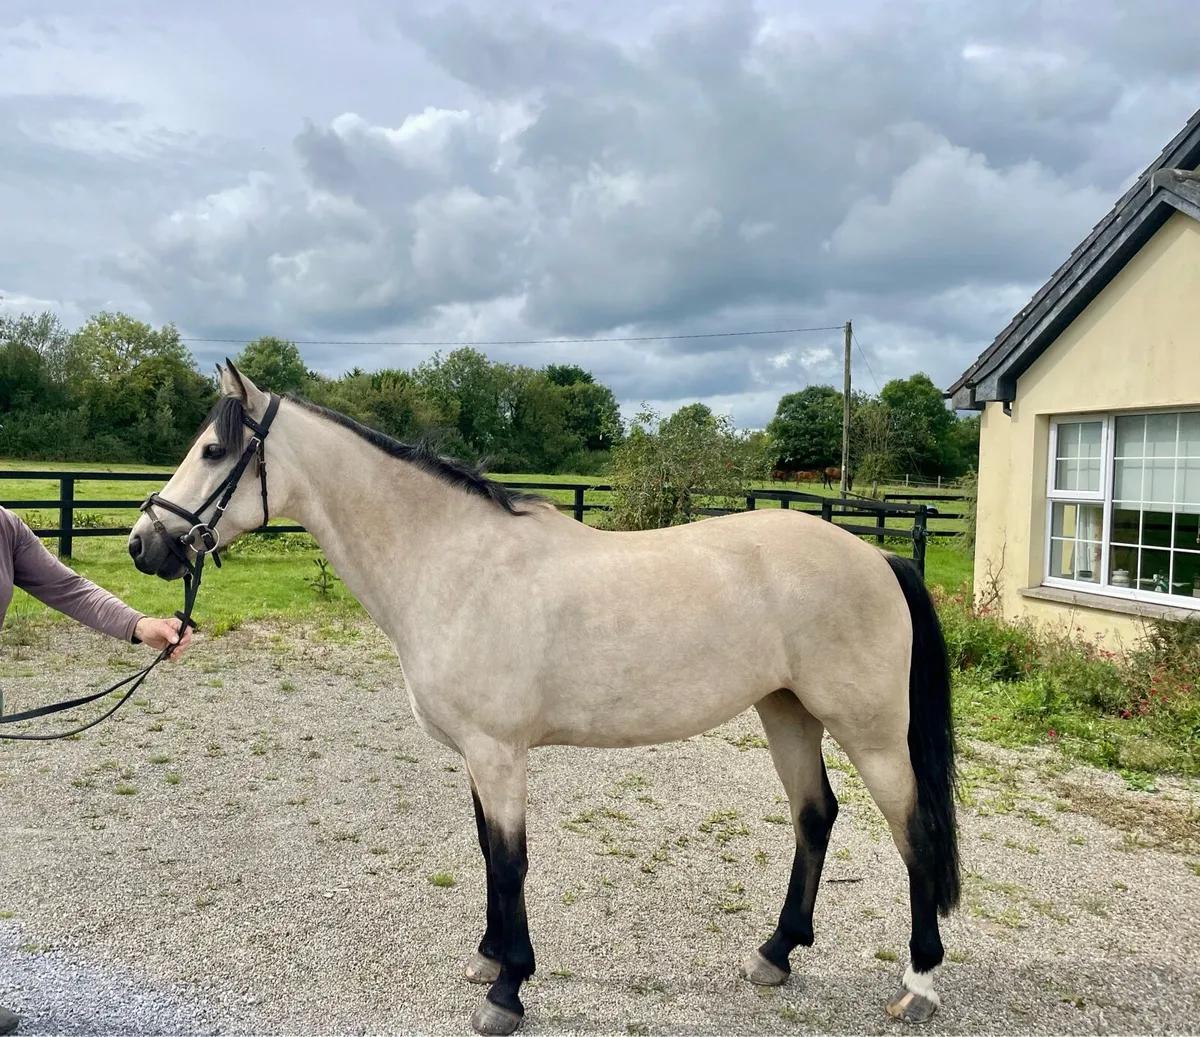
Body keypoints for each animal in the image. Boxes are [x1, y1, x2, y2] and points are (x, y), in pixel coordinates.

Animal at [128, 363, 960, 1036]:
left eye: (212, 451)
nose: (144, 544)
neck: (454, 563)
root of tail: (877, 556)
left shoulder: (499, 752)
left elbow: (509, 861)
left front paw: (507, 990)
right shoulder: (476, 755)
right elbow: (486, 853)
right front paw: (490, 956)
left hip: (870, 731)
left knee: (913, 829)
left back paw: (918, 983)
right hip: (786, 711)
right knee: (815, 815)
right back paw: (775, 953)